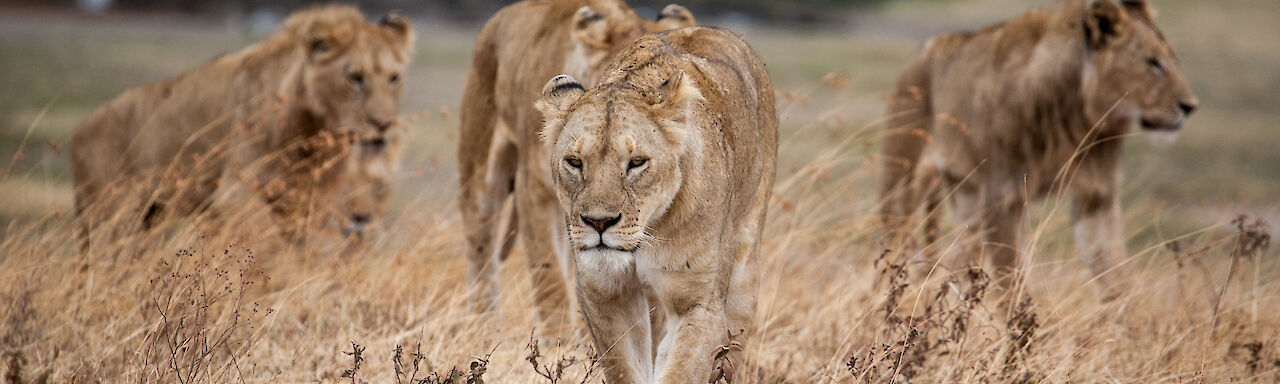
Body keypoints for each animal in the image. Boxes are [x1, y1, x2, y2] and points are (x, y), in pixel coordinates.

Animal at [537, 28, 773, 381]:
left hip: (745, 269)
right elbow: (626, 368)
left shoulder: (698, 302)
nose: (599, 222)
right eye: (575, 162)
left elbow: (682, 371)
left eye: (637, 162)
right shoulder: (604, 294)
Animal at [880, 0, 1198, 302]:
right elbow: (1012, 289)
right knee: (894, 248)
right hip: (903, 182)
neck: (1078, 117)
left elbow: (1116, 276)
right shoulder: (1002, 199)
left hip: (966, 196)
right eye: (1153, 63)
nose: (1190, 106)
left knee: (959, 263)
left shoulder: (1097, 195)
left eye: (1173, 60)